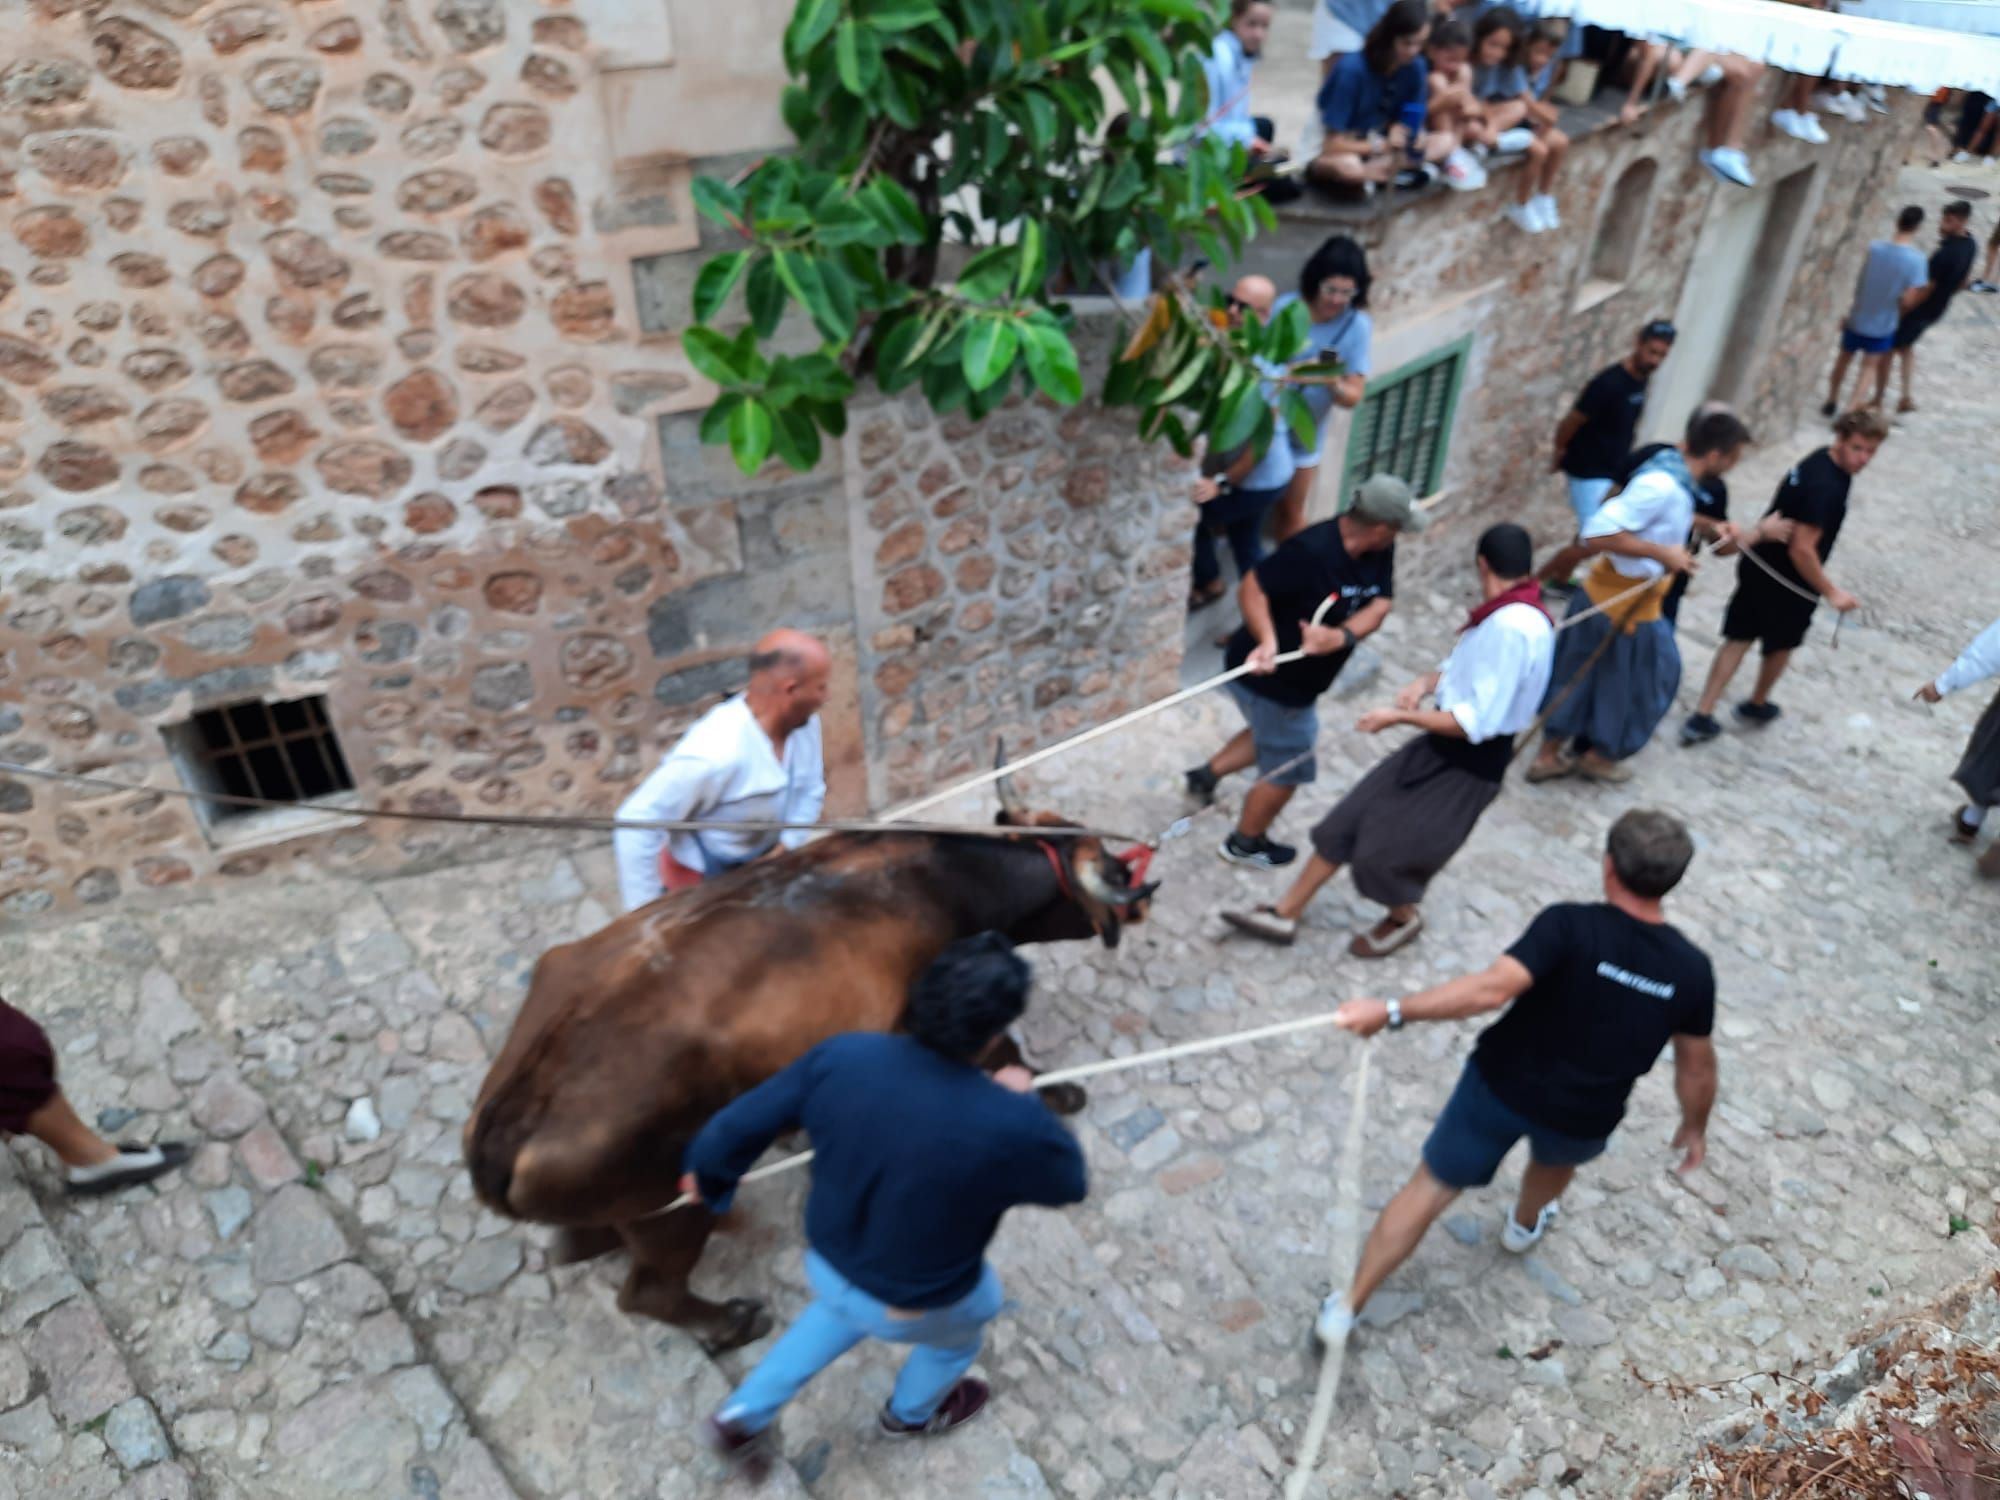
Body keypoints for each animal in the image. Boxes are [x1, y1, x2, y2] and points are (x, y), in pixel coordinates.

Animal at [462, 804, 1160, 1360]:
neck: (944, 876)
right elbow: (1005, 1051)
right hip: (675, 1209)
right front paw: (1054, 1091)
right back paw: (731, 1324)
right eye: (1116, 870)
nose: (1145, 895)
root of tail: (507, 1122)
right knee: (650, 1292)